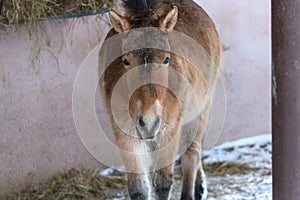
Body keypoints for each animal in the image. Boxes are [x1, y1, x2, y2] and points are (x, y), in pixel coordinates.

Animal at [99, 0, 221, 200]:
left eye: (166, 59)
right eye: (126, 61)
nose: (149, 121)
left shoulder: (170, 129)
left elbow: (163, 183)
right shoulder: (124, 131)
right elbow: (139, 188)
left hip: (201, 110)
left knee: (192, 154)